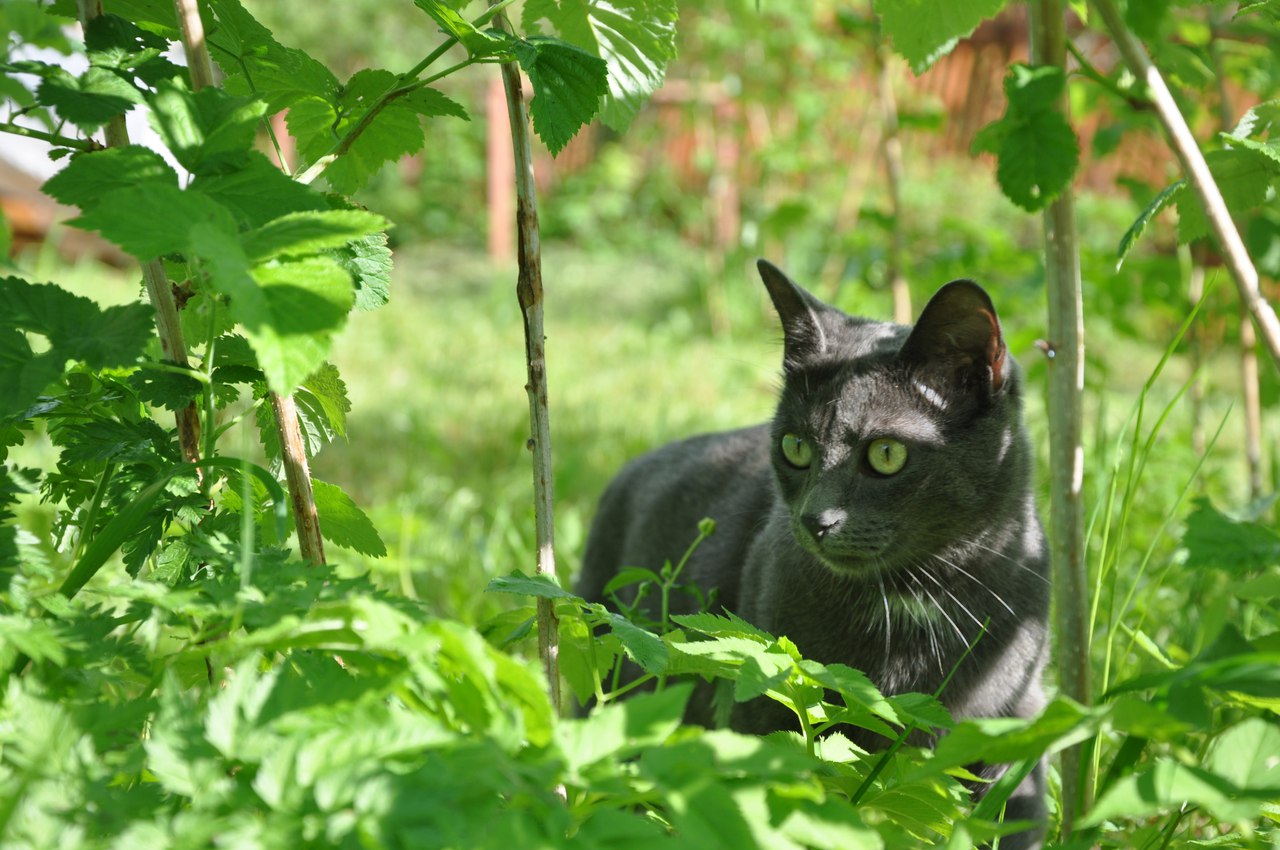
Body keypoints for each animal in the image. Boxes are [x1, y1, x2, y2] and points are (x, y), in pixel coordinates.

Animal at [578, 262, 1049, 844]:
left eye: (886, 454)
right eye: (796, 447)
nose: (814, 520)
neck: (912, 599)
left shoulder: (1016, 717)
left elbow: (1012, 819)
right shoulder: (762, 696)